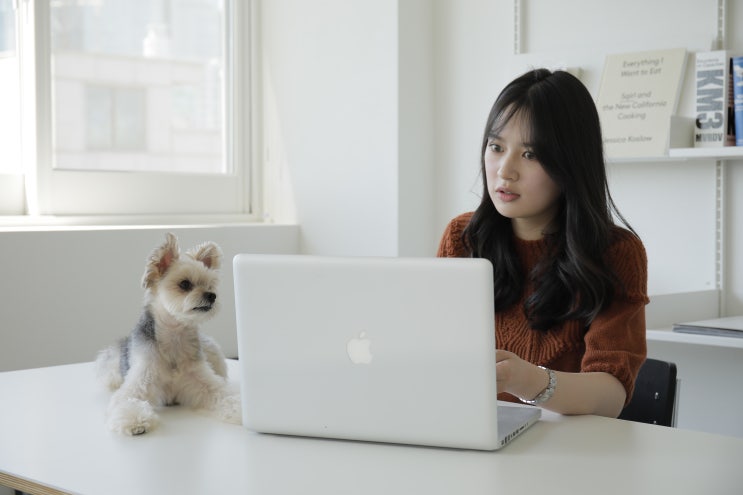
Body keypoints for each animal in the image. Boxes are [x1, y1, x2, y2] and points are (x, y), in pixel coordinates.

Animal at [96, 232, 241, 434]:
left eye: (210, 285)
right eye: (185, 284)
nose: (212, 296)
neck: (174, 338)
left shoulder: (203, 382)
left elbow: (226, 395)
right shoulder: (141, 381)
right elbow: (128, 399)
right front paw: (135, 420)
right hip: (111, 365)